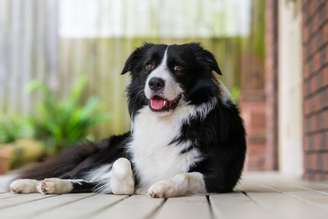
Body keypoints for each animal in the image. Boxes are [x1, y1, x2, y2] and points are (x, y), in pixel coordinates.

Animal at [0, 43, 246, 198]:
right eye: (148, 66)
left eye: (178, 67)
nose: (155, 82)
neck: (166, 121)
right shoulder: (124, 157)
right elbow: (122, 165)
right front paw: (127, 185)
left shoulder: (220, 177)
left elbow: (184, 176)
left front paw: (162, 186)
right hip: (100, 155)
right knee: (73, 175)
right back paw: (31, 184)